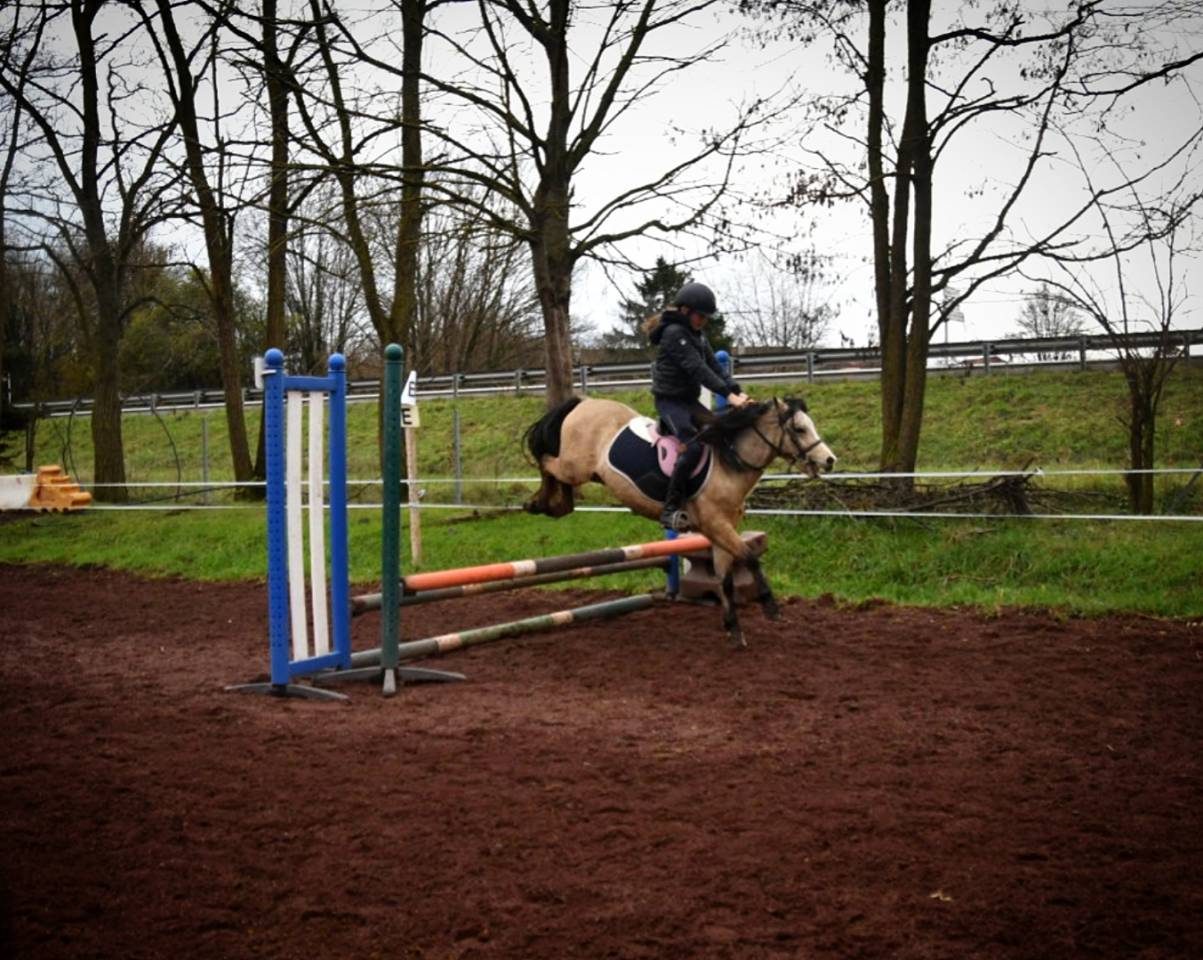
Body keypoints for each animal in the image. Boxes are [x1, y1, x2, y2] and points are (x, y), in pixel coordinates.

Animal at [522, 396, 837, 646]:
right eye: (800, 429)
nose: (829, 460)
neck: (730, 462)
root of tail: (583, 402)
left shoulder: (722, 532)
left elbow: (725, 579)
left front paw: (733, 630)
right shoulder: (716, 526)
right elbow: (749, 556)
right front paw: (771, 607)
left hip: (583, 470)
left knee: (552, 468)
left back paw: (553, 505)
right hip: (574, 466)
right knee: (547, 460)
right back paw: (541, 502)